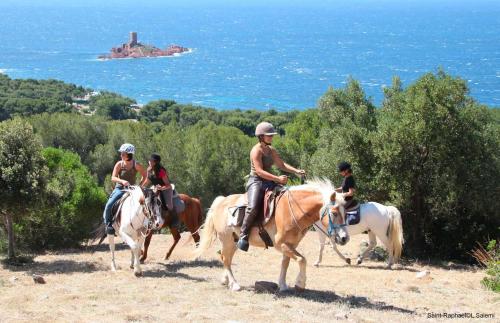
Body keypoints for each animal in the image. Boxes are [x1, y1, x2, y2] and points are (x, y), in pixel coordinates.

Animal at [195, 178, 348, 292]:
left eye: (345, 212)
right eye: (334, 213)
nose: (344, 238)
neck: (293, 209)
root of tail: (220, 202)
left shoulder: (291, 244)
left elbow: (286, 263)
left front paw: (283, 285)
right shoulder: (280, 244)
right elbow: (302, 260)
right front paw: (300, 283)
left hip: (233, 241)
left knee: (224, 257)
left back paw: (225, 280)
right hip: (227, 241)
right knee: (226, 259)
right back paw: (234, 284)